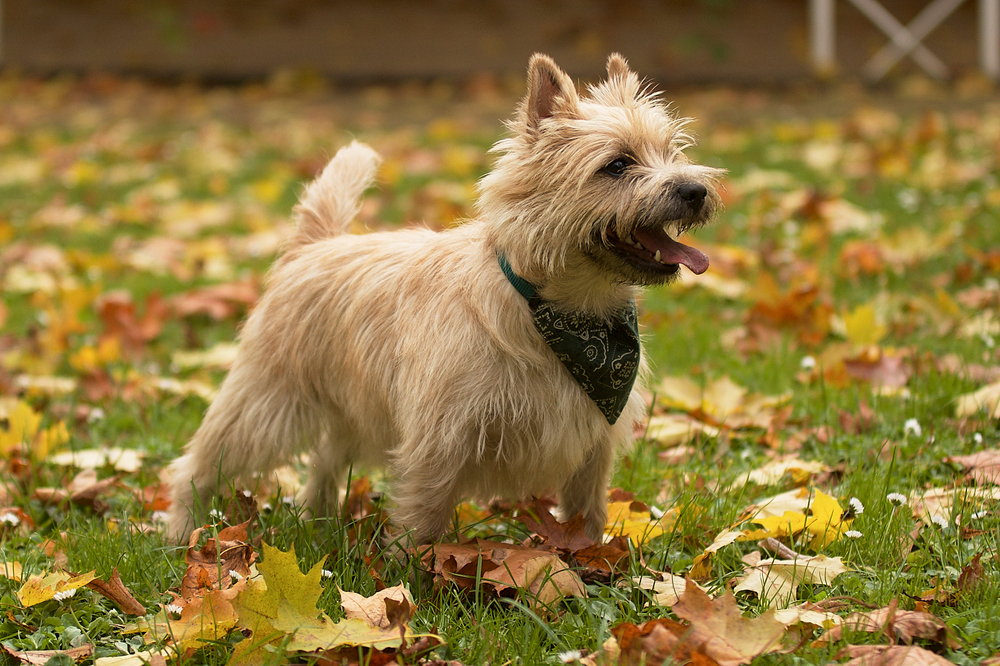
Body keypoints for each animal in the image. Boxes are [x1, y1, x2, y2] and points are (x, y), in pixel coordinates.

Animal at [168, 53, 724, 544]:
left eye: (674, 152)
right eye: (617, 165)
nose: (695, 189)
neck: (562, 312)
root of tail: (313, 245)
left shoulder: (593, 447)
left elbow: (587, 513)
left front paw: (591, 566)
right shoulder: (440, 439)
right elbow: (424, 517)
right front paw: (413, 580)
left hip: (351, 410)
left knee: (324, 460)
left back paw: (319, 522)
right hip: (265, 404)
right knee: (197, 465)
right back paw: (181, 534)